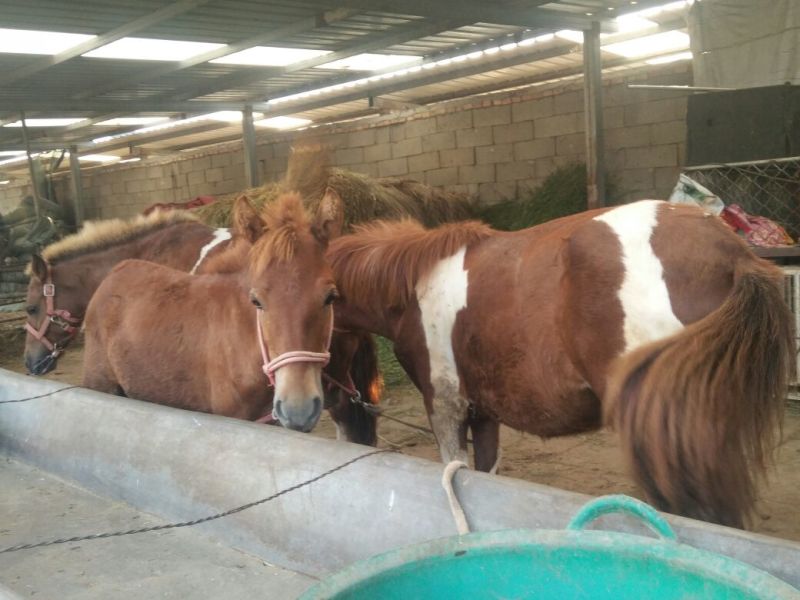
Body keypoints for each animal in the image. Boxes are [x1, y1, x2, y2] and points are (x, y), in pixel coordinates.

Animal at [326, 199, 795, 528]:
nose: (326, 407)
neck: (413, 287)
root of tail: (731, 254)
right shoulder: (483, 414)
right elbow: (485, 476)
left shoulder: (446, 408)